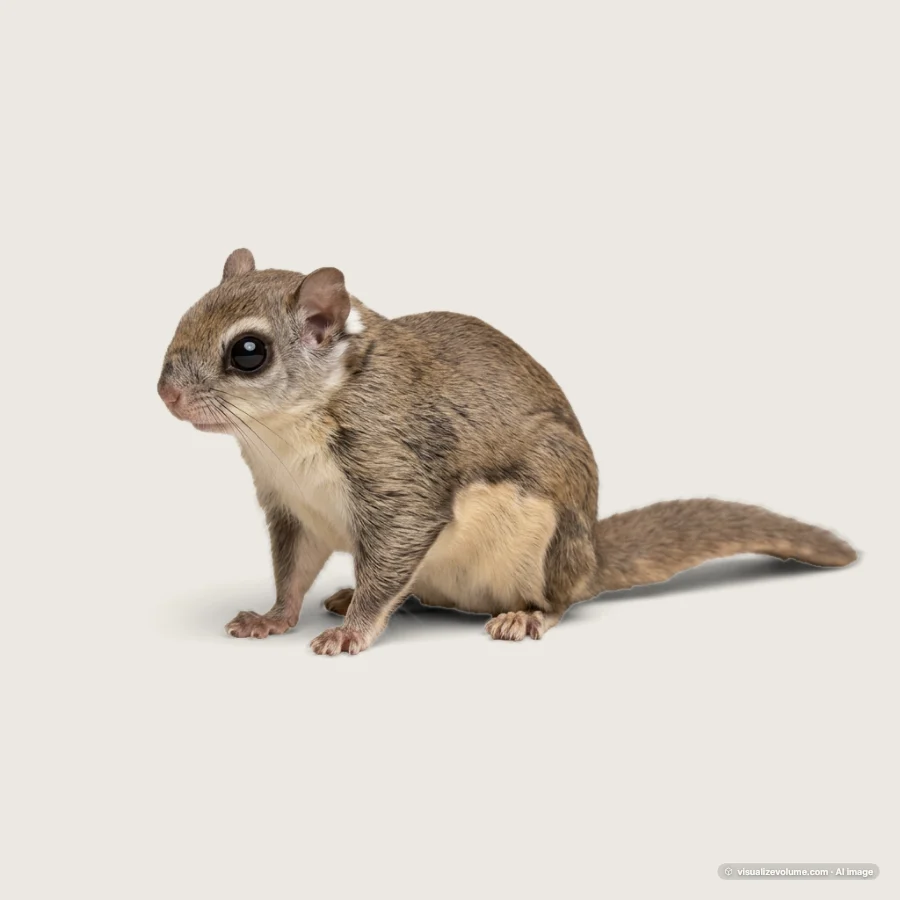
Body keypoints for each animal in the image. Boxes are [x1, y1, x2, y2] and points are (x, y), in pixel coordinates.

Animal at [158, 249, 857, 655]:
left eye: (249, 352)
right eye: (187, 314)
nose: (165, 393)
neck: (284, 433)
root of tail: (588, 556)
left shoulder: (397, 472)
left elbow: (398, 544)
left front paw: (353, 630)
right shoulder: (291, 508)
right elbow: (292, 570)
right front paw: (274, 617)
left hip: (543, 539)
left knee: (562, 602)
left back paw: (525, 618)